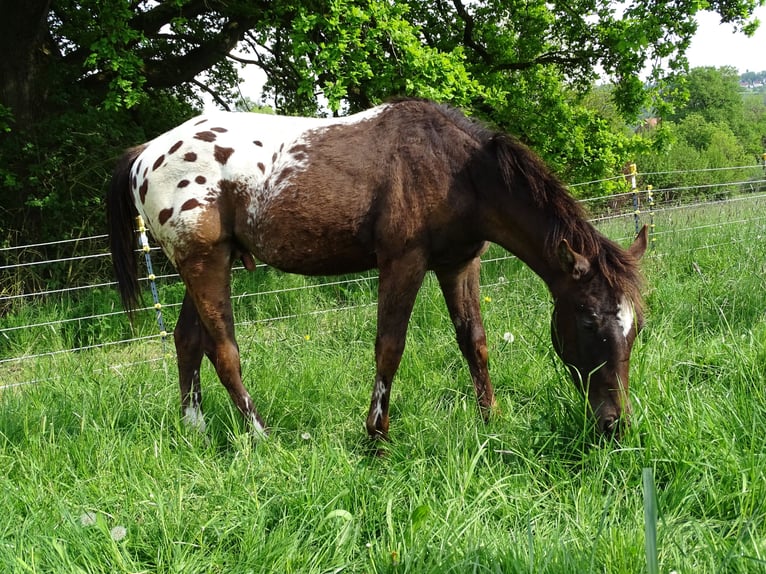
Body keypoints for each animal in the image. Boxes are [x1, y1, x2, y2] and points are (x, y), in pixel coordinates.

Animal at [107, 98, 647, 439]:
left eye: (635, 327)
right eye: (587, 321)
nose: (614, 424)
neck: (456, 170)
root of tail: (144, 154)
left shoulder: (458, 264)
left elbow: (474, 341)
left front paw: (490, 420)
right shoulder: (403, 262)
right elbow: (389, 347)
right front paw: (376, 435)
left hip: (201, 266)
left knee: (187, 342)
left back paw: (194, 430)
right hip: (205, 265)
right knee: (224, 353)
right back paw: (261, 436)